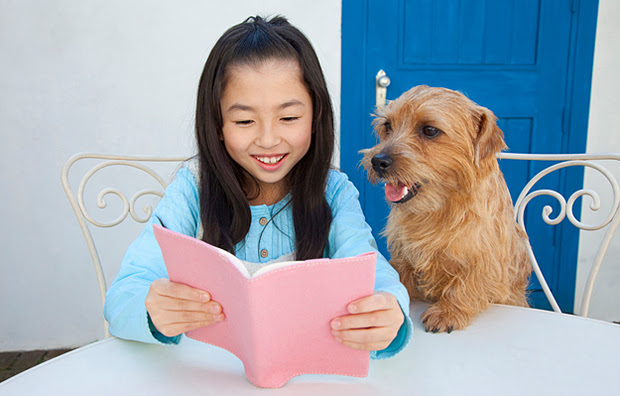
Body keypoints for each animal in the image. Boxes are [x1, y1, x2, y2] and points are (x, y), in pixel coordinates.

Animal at [360, 85, 532, 332]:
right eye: (388, 125)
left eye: (430, 130)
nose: (377, 161)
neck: (437, 210)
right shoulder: (403, 253)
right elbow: (400, 273)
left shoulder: (488, 260)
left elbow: (468, 281)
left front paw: (447, 312)